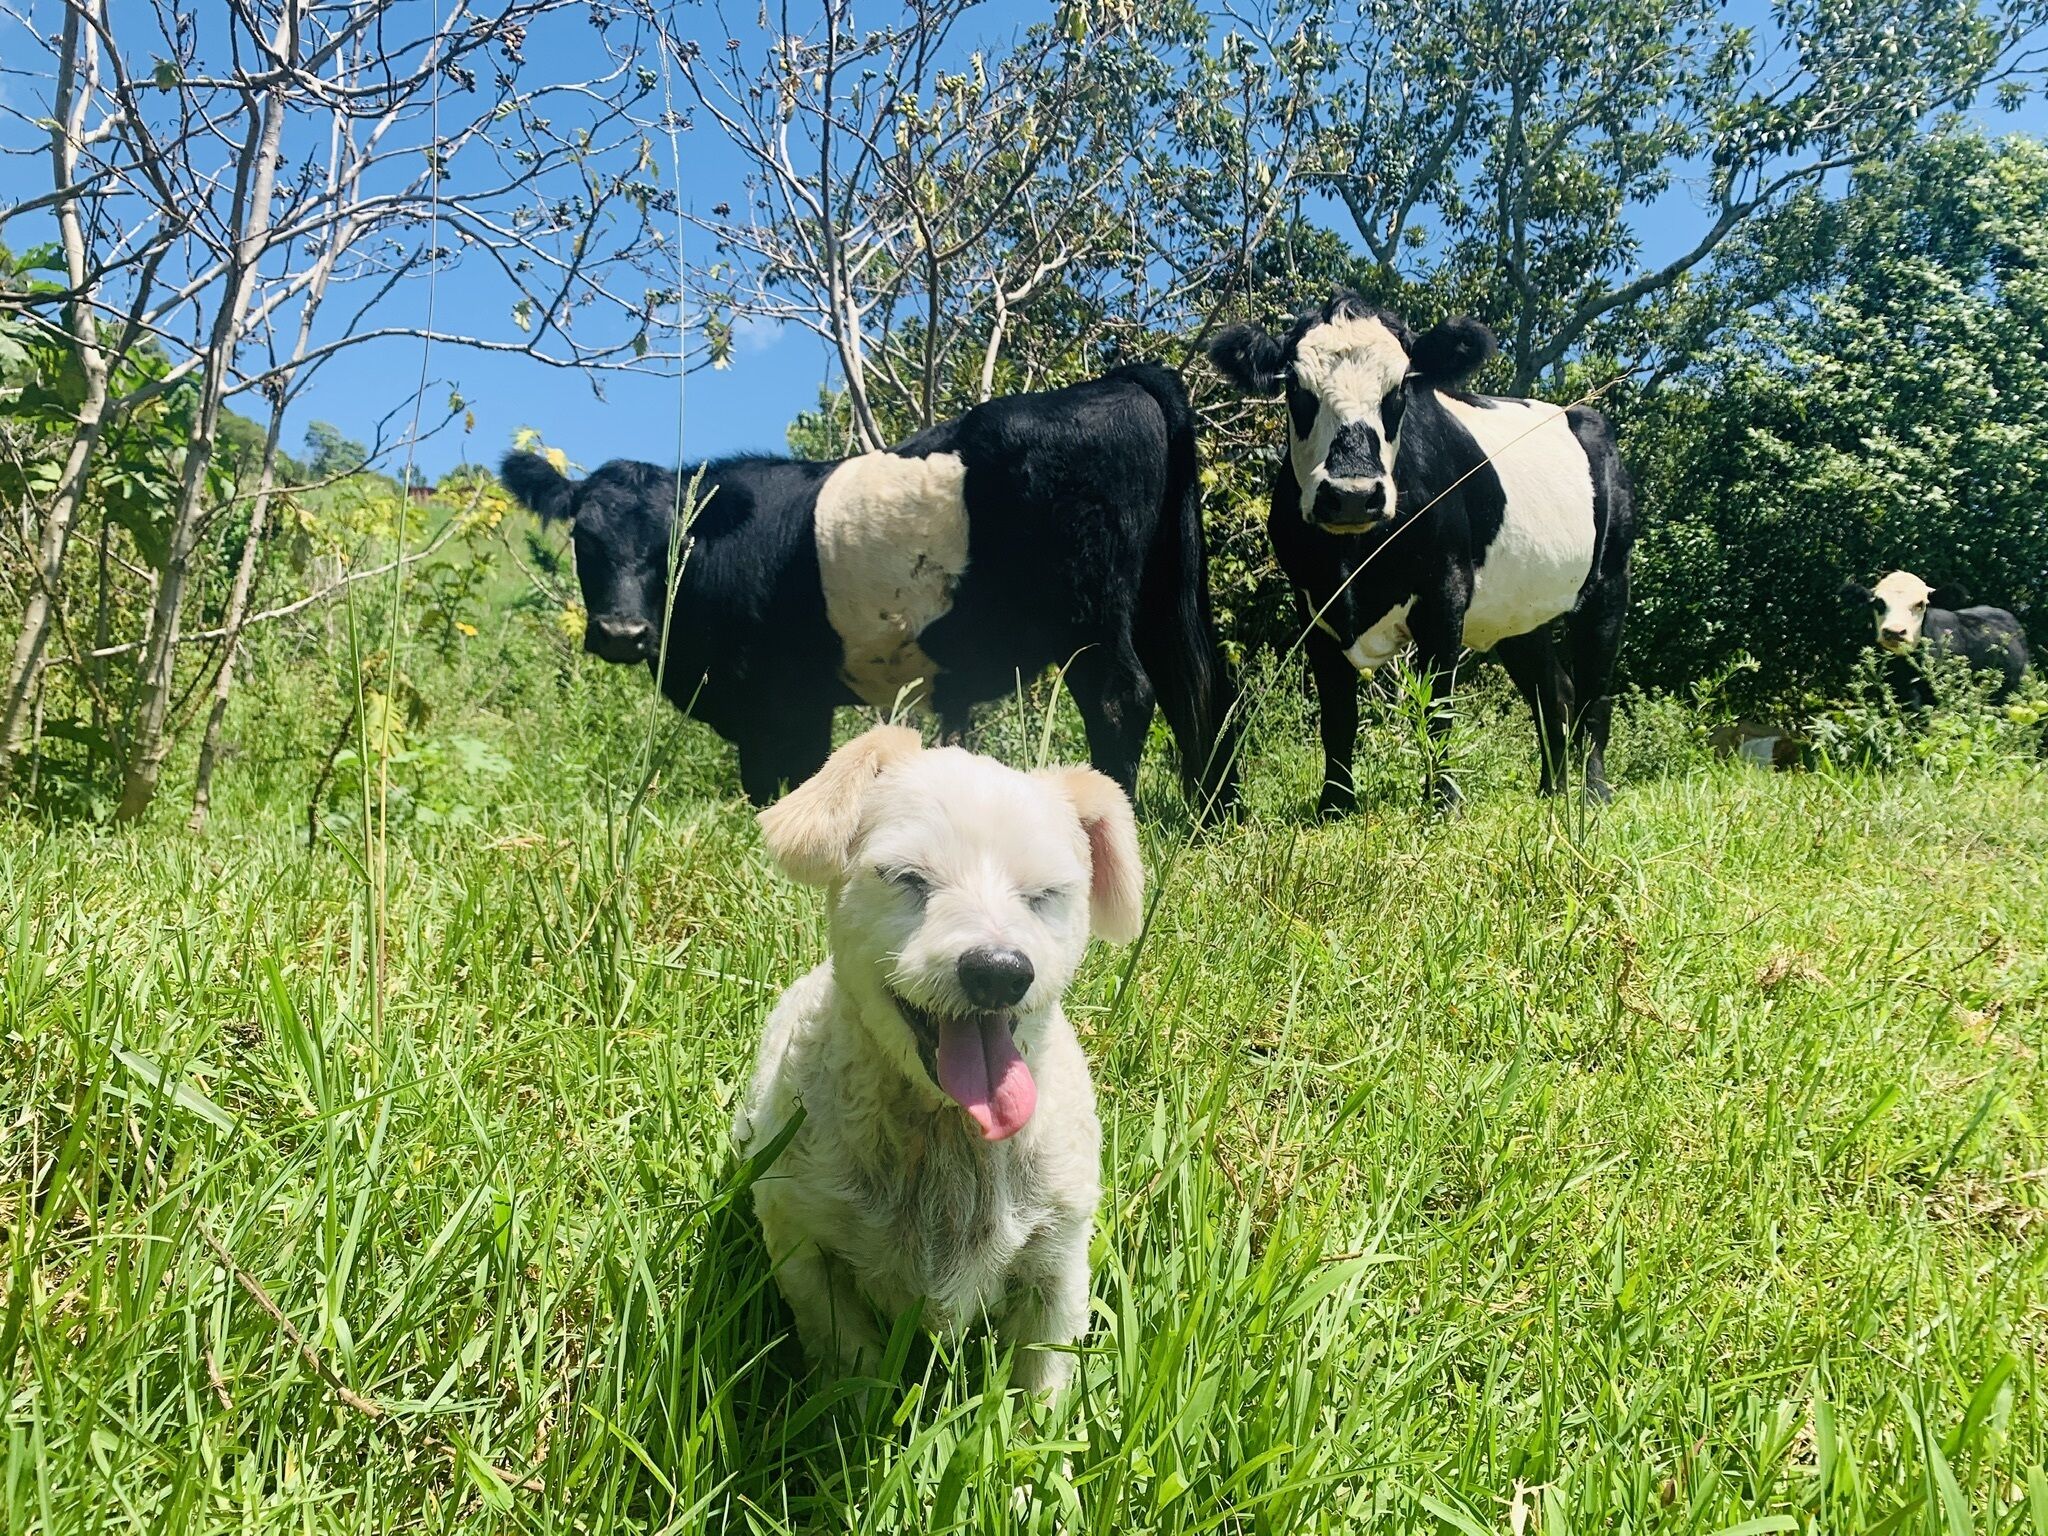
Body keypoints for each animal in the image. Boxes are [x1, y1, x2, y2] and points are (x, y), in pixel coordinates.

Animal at [499, 364, 1228, 819]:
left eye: (674, 546)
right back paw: (1214, 817)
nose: (622, 633)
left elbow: (773, 778)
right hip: (1161, 593)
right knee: (1201, 685)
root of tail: (1118, 378)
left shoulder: (770, 698)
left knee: (1122, 698)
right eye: (584, 540)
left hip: (1090, 616)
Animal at [737, 729, 1146, 1400]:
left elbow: (1042, 1386)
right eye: (908, 877)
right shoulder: (806, 1248)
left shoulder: (1059, 1268)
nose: (999, 972)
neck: (946, 1127)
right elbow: (853, 1365)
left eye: (1044, 896)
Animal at [1204, 290, 1638, 819]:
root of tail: (1580, 414)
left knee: (1595, 691)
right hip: (1520, 613)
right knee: (1553, 691)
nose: (1352, 494)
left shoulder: (1444, 592)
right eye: (1296, 388)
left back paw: (1593, 792)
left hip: (1609, 579)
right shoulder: (1314, 608)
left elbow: (1437, 706)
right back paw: (1550, 791)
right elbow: (1338, 715)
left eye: (1399, 390)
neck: (1352, 561)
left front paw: (1443, 804)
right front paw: (1334, 805)